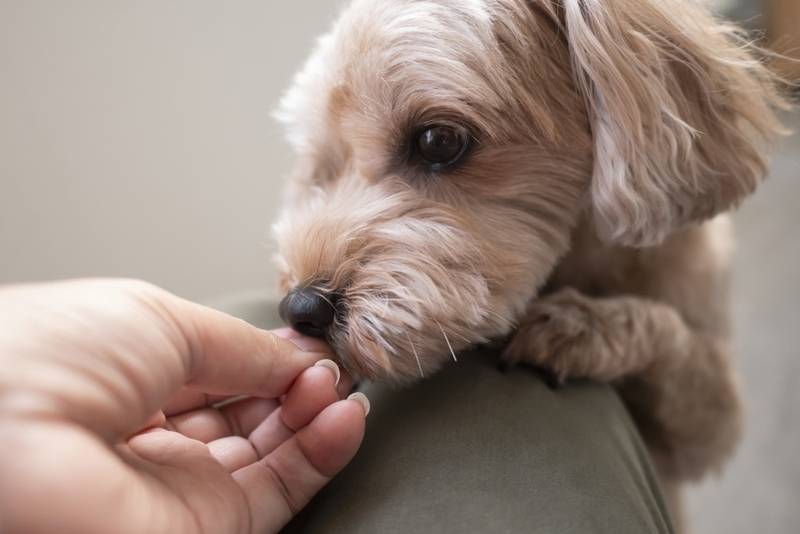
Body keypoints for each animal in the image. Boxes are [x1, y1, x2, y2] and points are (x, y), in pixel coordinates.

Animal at [272, 0, 784, 528]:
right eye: (326, 167)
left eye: (438, 141)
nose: (302, 309)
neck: (581, 259)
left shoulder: (710, 429)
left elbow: (670, 334)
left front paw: (581, 327)